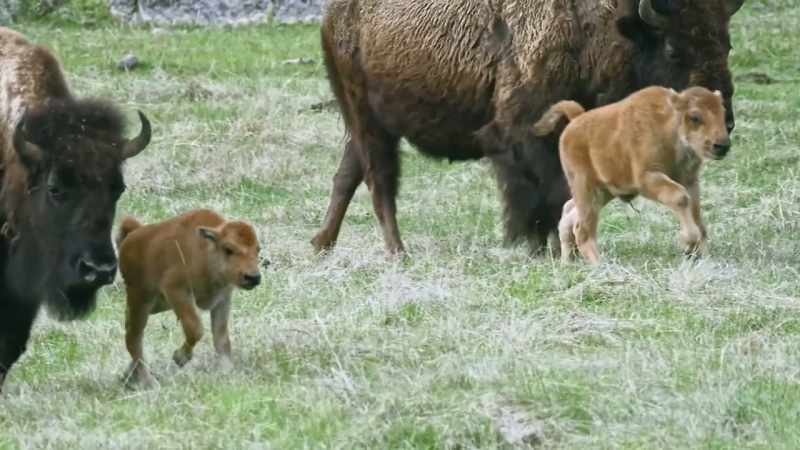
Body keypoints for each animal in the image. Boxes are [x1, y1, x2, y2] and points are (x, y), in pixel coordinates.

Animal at [311, 0, 744, 255]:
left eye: (726, 44)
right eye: (673, 48)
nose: (726, 121)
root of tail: (334, 15)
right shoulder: (523, 137)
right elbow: (544, 193)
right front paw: (538, 246)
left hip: (372, 124)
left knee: (347, 175)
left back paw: (322, 244)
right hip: (368, 119)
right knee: (379, 180)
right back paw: (397, 251)